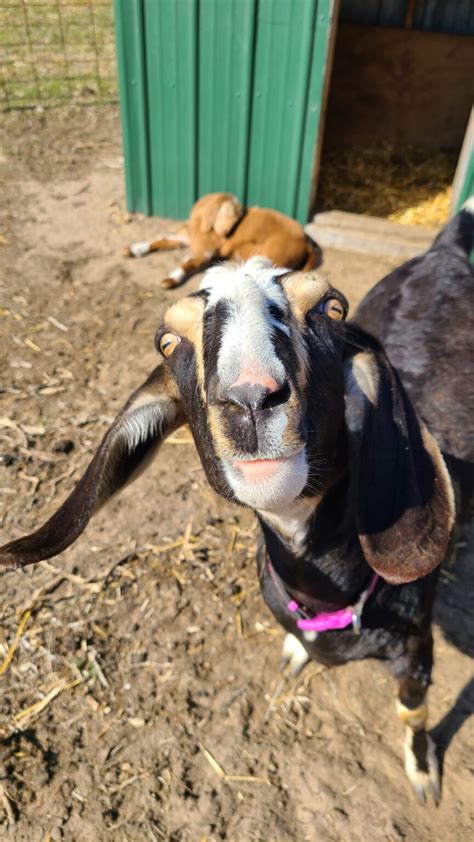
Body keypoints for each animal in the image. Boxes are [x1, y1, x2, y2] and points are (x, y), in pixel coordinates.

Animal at [0, 202, 474, 800]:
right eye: (168, 341)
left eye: (332, 307)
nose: (250, 397)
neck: (323, 590)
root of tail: (446, 248)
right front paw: (296, 649)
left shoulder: (417, 653)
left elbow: (412, 714)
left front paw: (423, 775)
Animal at [125, 190, 322, 286]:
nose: (226, 231)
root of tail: (307, 242)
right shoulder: (188, 238)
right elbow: (162, 239)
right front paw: (134, 249)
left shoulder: (205, 251)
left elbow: (189, 263)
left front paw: (171, 280)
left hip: (271, 255)